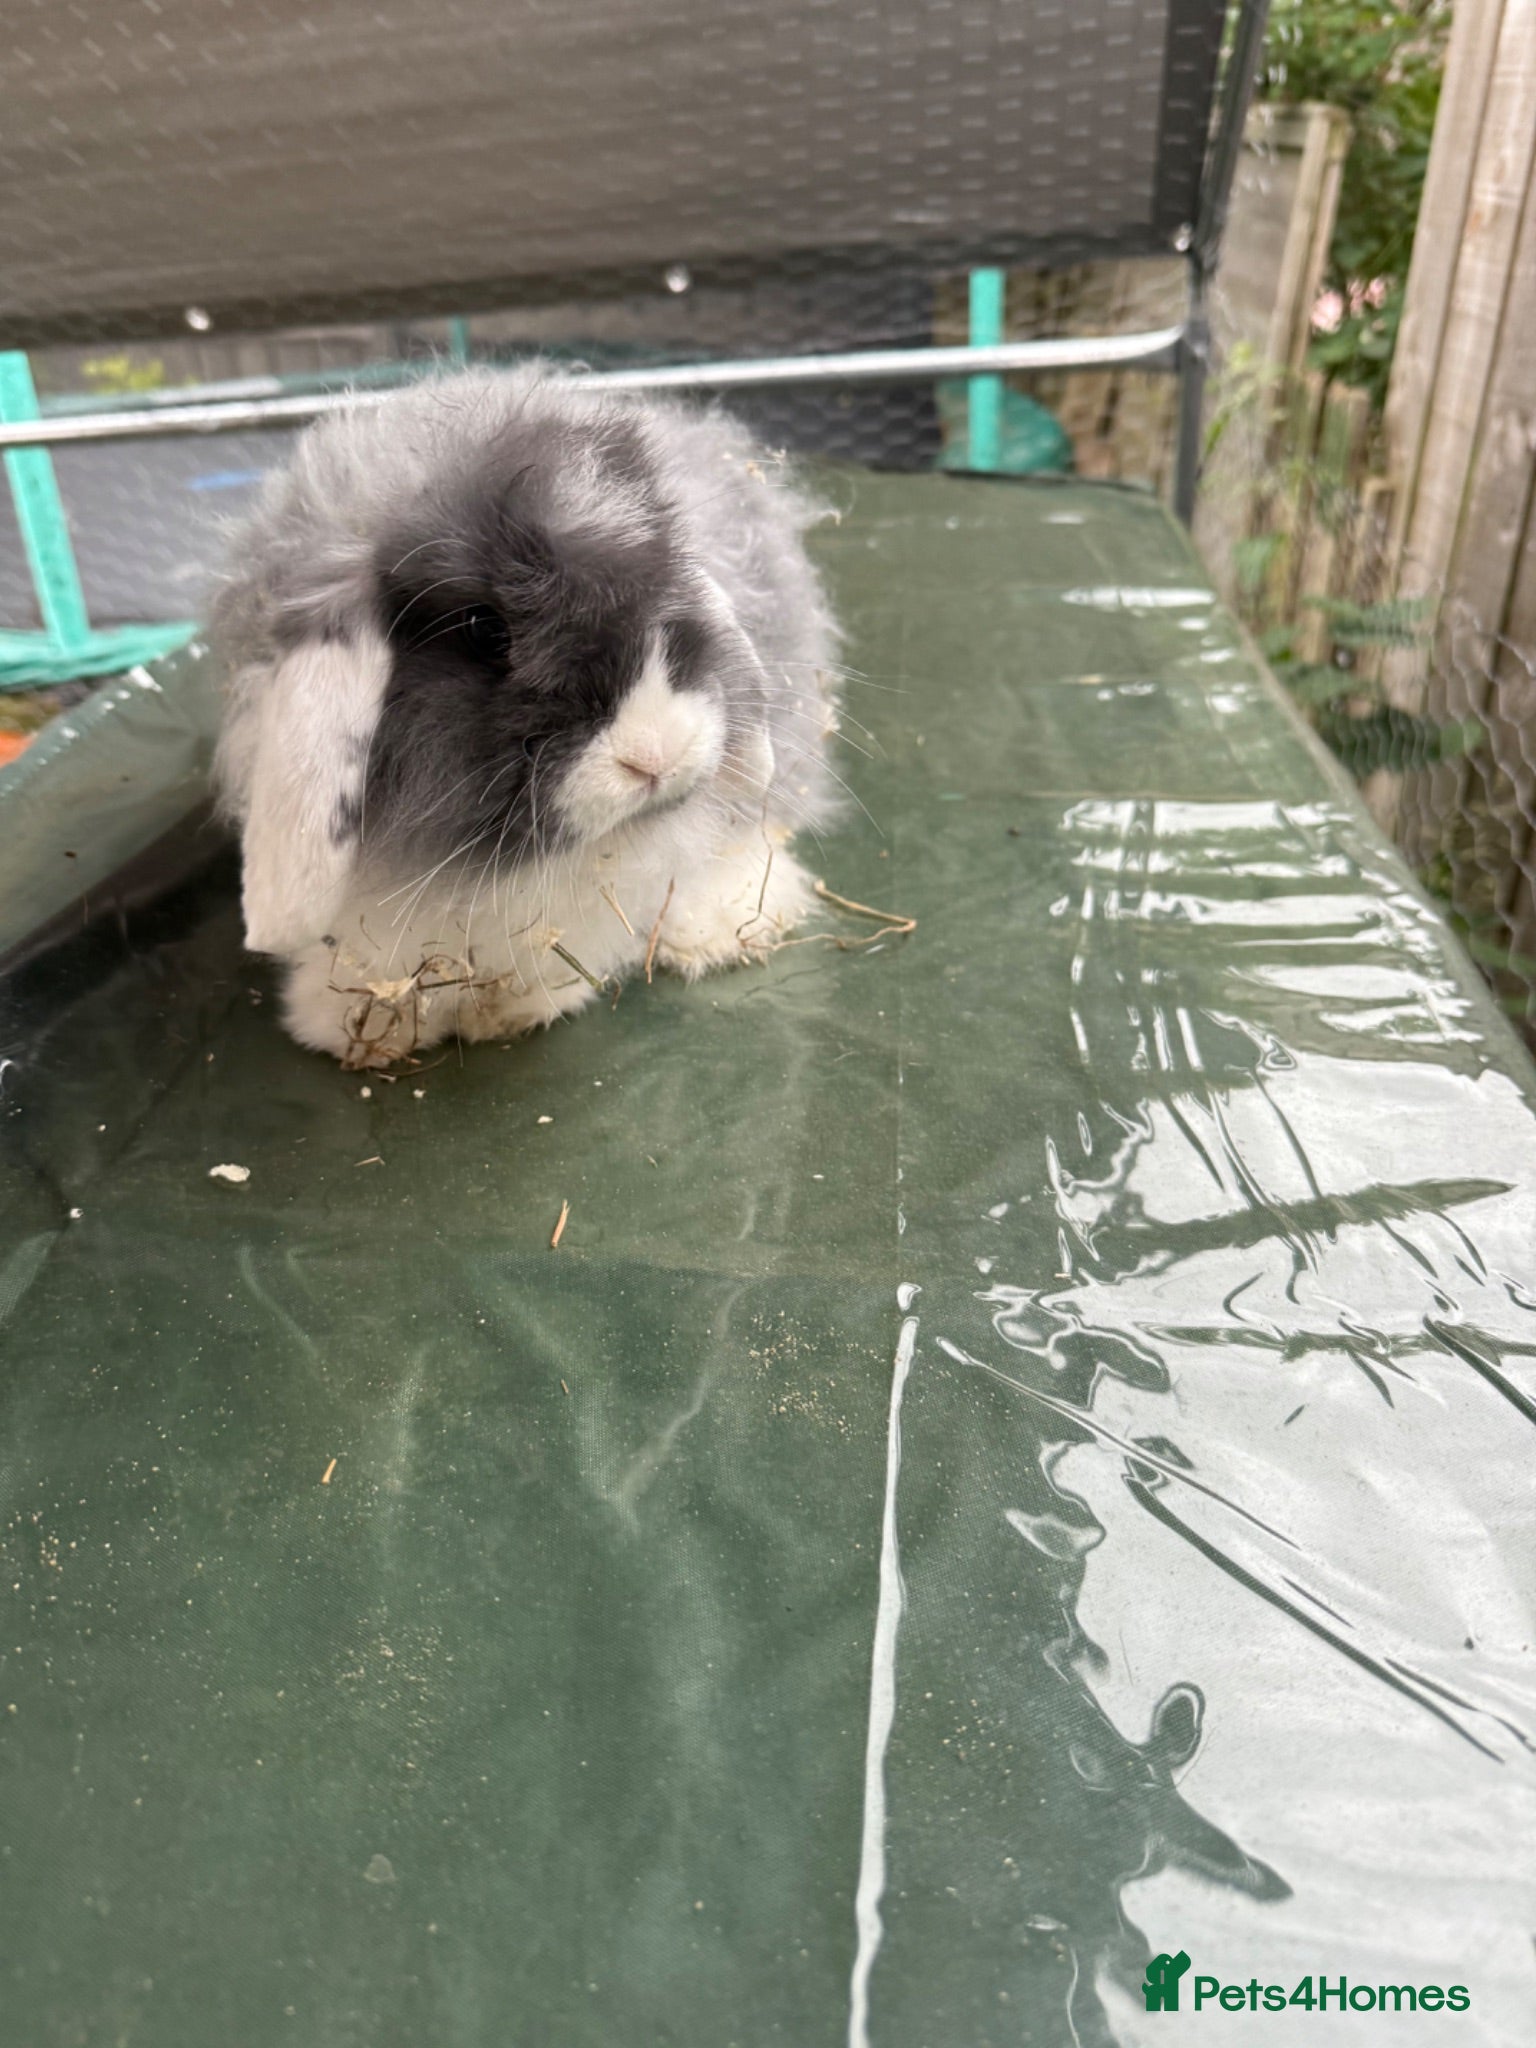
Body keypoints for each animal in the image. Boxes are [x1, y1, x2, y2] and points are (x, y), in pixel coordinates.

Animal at [210, 366, 843, 1068]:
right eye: (485, 628)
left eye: (667, 602)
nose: (655, 754)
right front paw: (358, 1029)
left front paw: (515, 1012)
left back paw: (722, 930)